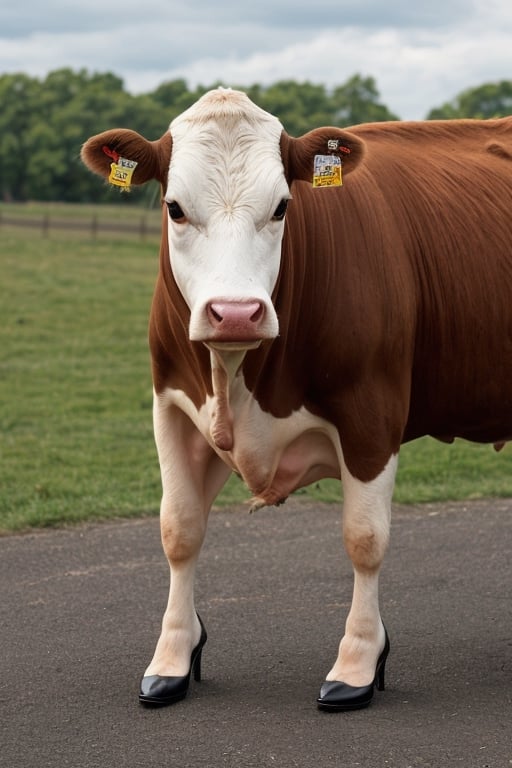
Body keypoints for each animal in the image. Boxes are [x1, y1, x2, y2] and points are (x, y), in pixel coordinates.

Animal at [81, 87, 512, 712]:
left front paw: (358, 663)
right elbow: (179, 530)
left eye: (283, 207)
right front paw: (173, 657)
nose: (235, 313)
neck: (238, 378)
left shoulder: (371, 416)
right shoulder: (171, 408)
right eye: (175, 208)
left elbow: (365, 538)